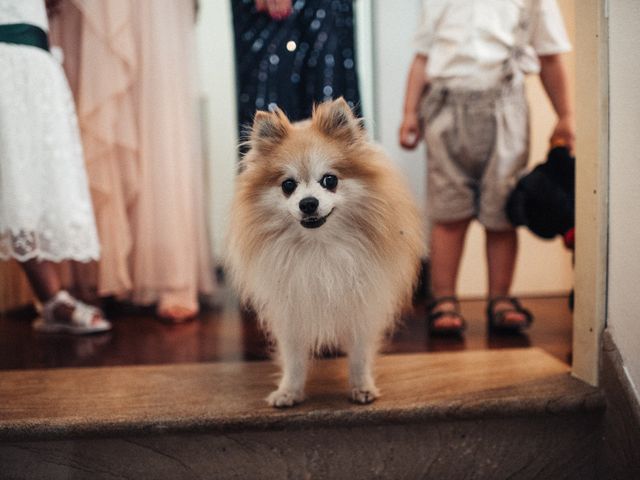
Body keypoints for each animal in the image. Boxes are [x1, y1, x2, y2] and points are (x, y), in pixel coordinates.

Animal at [226, 99, 424, 406]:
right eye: (288, 185)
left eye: (330, 180)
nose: (308, 203)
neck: (320, 247)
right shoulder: (292, 312)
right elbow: (294, 359)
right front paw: (289, 391)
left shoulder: (361, 308)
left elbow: (359, 356)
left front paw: (362, 387)